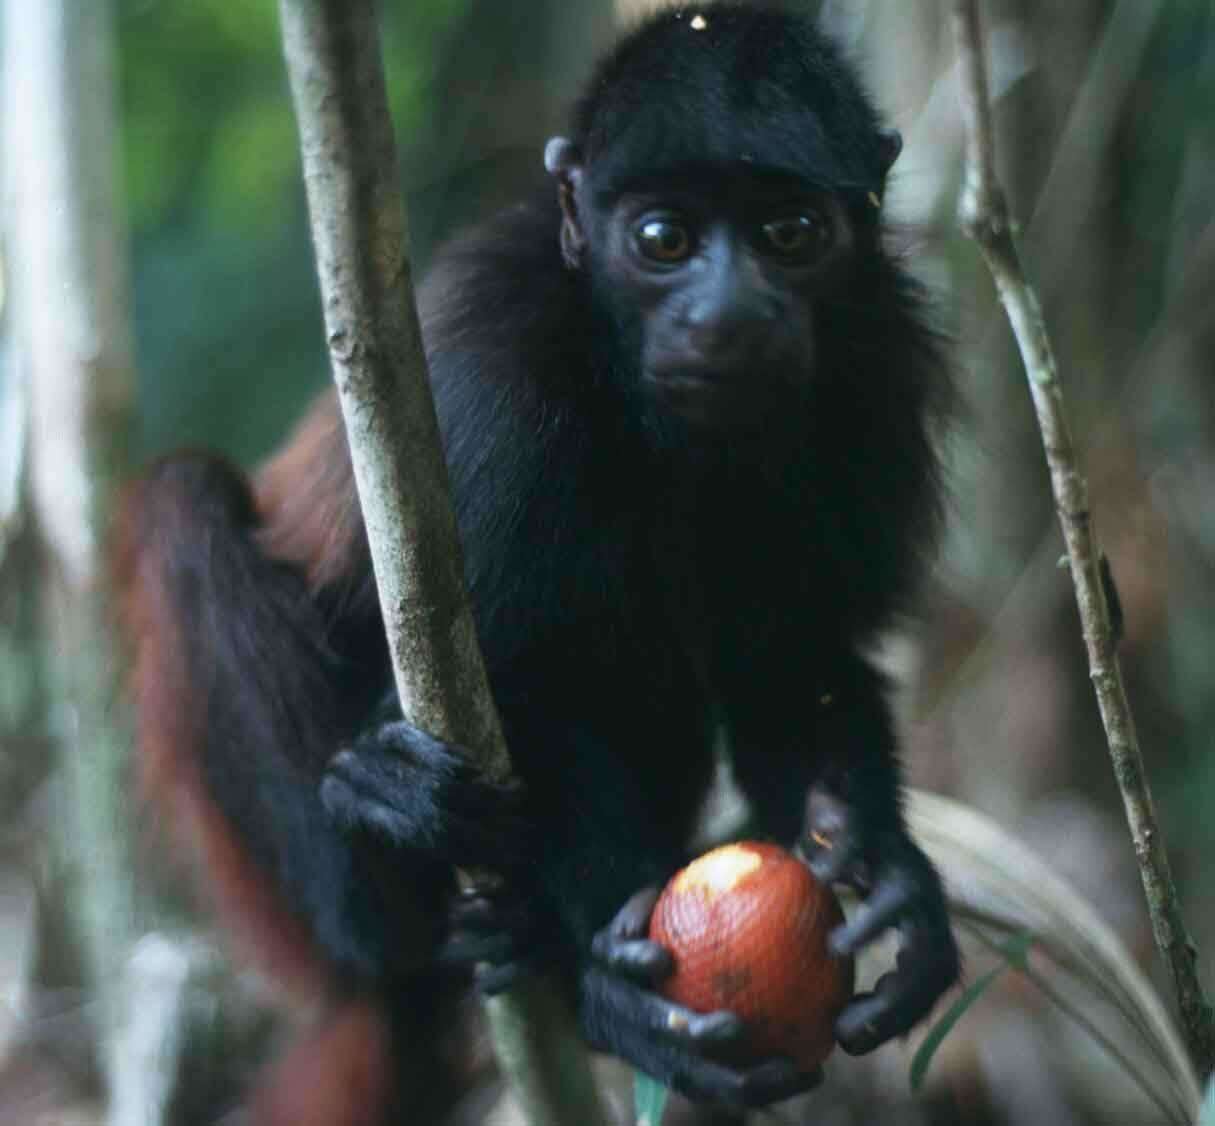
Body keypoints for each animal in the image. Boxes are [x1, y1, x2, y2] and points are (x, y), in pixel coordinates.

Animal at [118, 4, 962, 1122]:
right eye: (662, 240)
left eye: (792, 234)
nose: (727, 314)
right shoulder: (498, 364)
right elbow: (526, 680)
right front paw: (617, 993)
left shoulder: (878, 364)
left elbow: (794, 657)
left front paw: (886, 874)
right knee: (184, 510)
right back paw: (388, 860)